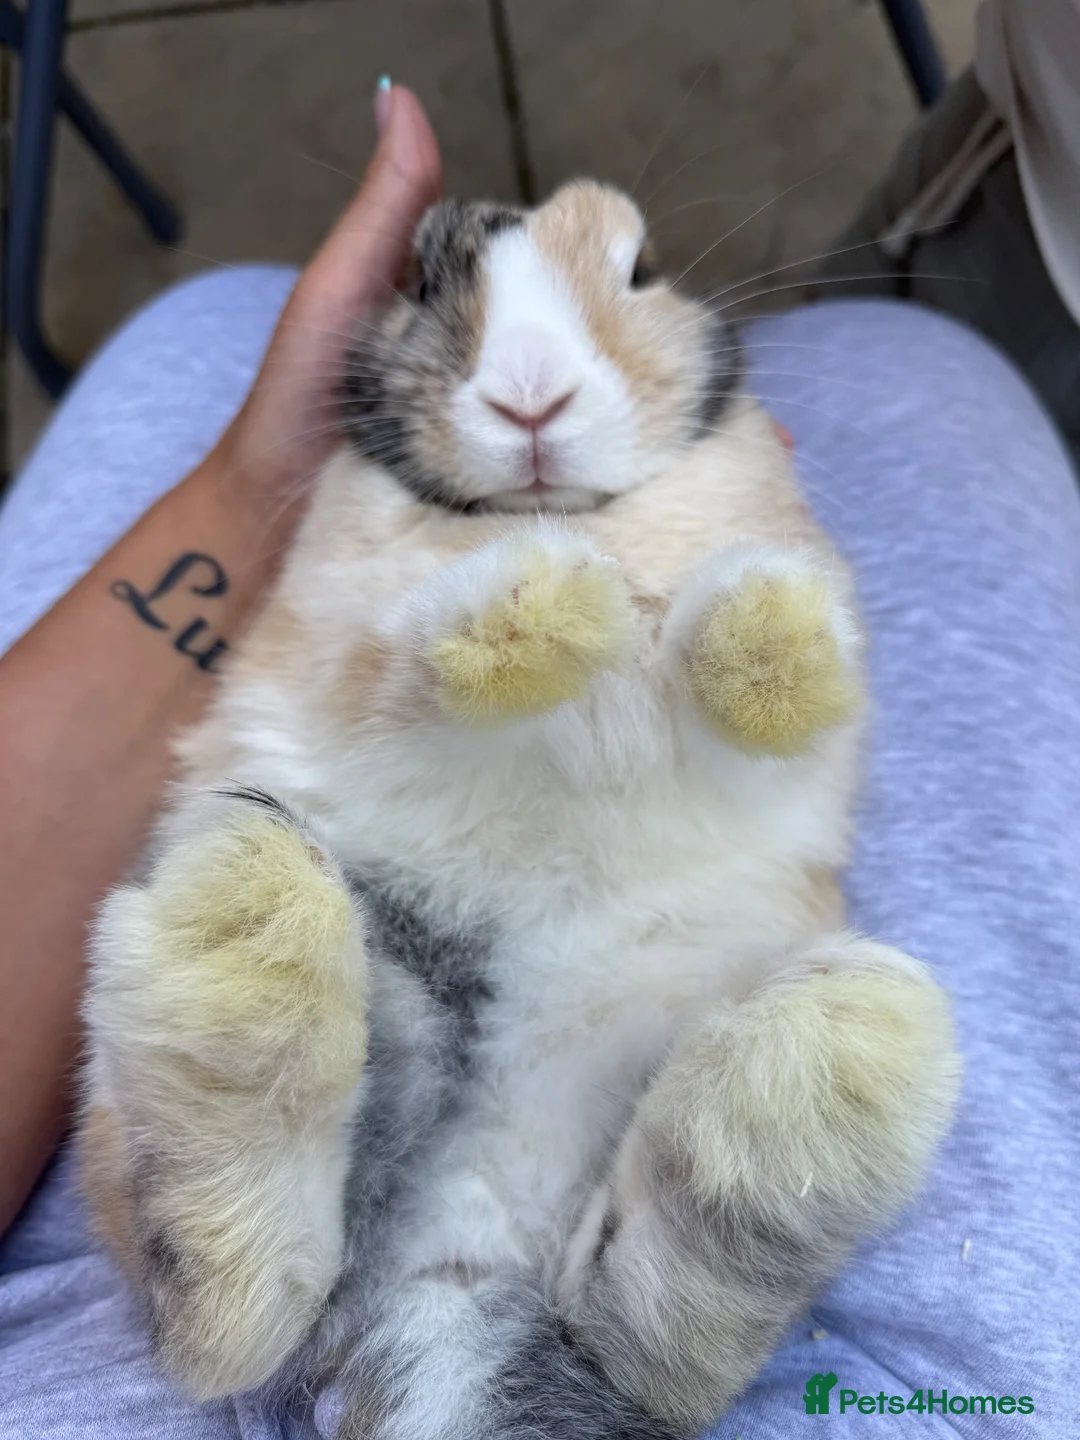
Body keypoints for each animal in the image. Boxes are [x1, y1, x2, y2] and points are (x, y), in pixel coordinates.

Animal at [79, 180, 961, 1440]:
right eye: (422, 279)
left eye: (641, 267)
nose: (531, 399)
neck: (582, 509)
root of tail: (449, 1283)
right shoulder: (344, 649)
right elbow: (407, 657)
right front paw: (544, 608)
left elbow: (753, 657)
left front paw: (768, 639)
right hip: (365, 984)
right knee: (227, 1318)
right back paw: (239, 927)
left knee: (641, 1344)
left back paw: (833, 1075)